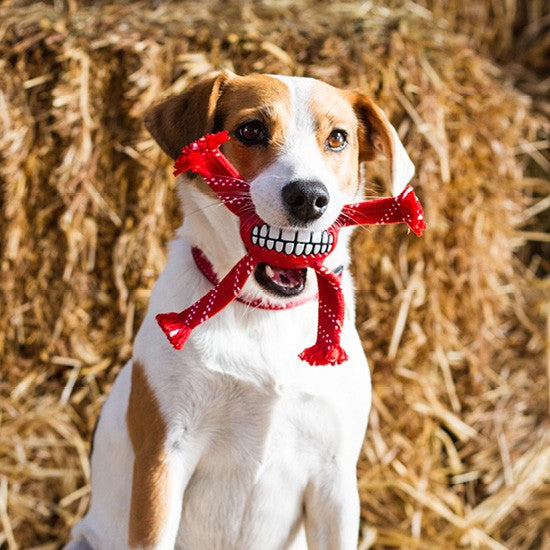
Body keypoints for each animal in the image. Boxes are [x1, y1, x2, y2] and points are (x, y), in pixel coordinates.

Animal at [67, 73, 416, 550]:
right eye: (251, 130)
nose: (309, 197)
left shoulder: (334, 480)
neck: (265, 314)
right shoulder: (162, 462)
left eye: (338, 138)